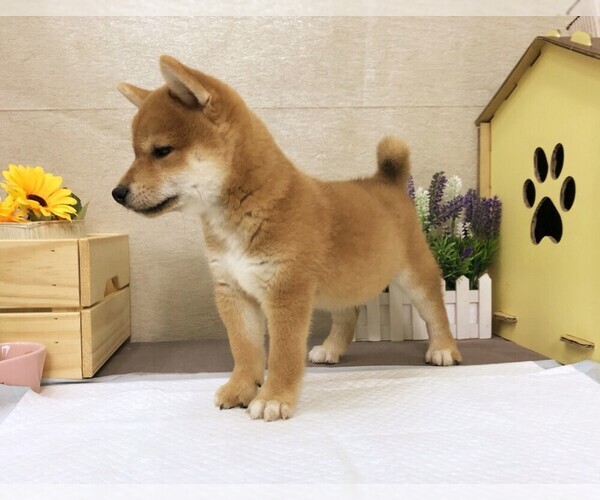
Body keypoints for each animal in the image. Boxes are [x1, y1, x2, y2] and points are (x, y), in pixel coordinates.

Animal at [111, 55, 460, 422]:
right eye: (135, 153)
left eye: (162, 151)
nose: (117, 193)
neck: (242, 210)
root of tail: (386, 182)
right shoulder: (232, 291)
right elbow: (245, 349)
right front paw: (241, 388)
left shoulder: (285, 291)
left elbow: (282, 353)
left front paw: (274, 397)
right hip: (342, 284)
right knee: (348, 314)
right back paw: (331, 349)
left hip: (414, 273)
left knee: (435, 309)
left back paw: (443, 349)